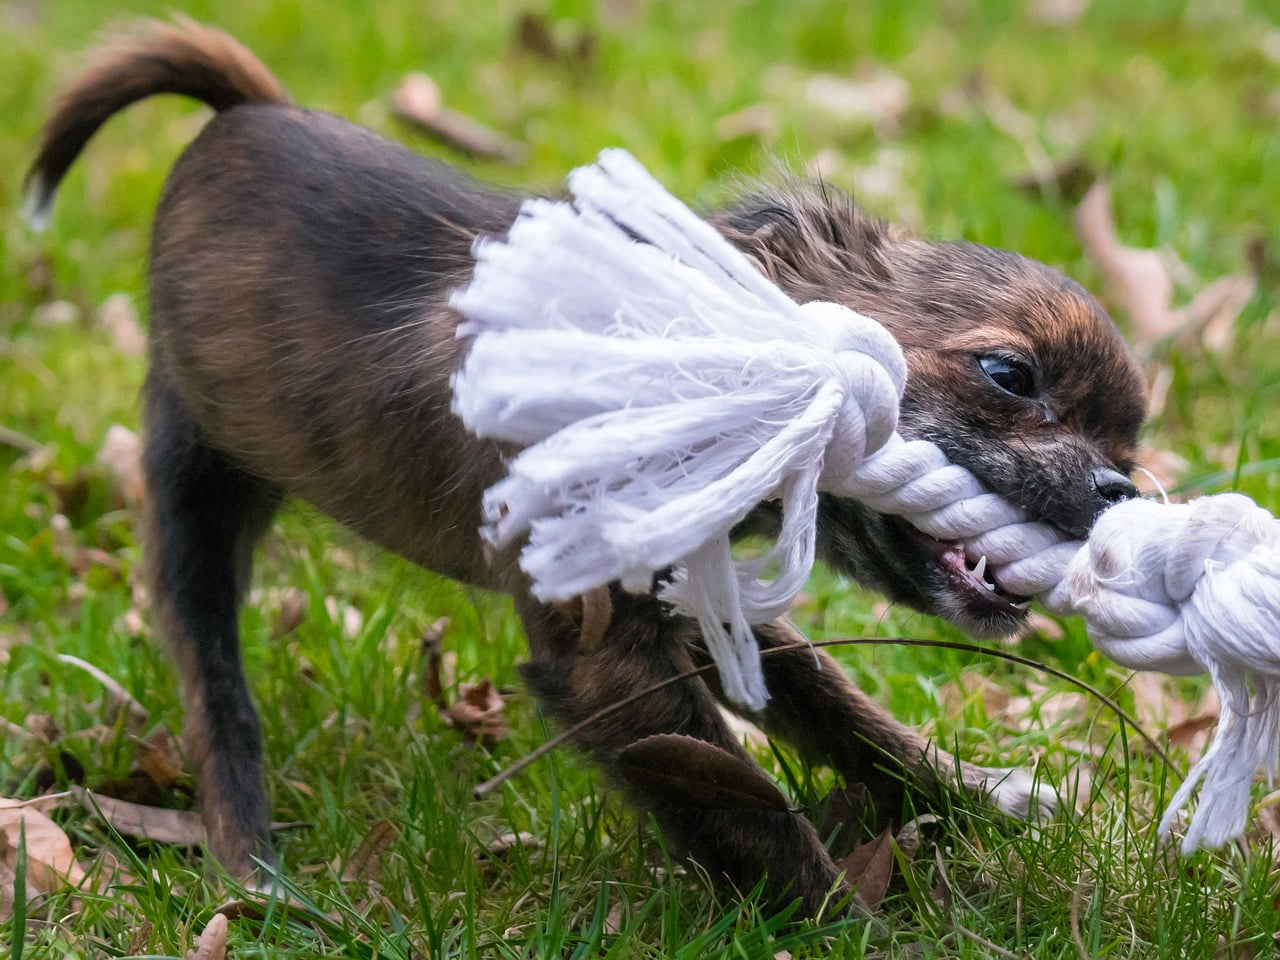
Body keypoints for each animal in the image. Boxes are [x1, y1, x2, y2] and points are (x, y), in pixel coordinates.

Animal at [30, 20, 1146, 916]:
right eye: (1008, 375)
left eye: (1130, 445)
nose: (1120, 492)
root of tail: (244, 112)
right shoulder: (605, 658)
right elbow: (749, 809)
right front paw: (852, 924)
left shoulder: (698, 597)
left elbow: (845, 714)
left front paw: (979, 798)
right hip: (193, 496)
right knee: (215, 687)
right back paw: (254, 870)